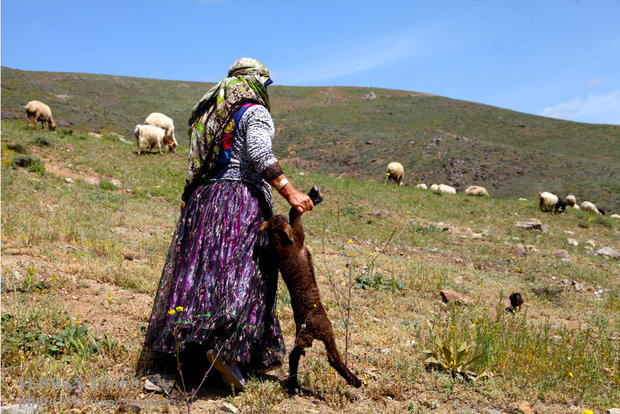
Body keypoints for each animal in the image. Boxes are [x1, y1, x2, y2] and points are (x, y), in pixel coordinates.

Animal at [258, 187, 364, 392]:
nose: (277, 214)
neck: (280, 243)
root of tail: (309, 330)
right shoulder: (298, 235)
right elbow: (295, 213)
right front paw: (313, 196)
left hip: (303, 336)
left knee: (296, 355)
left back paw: (293, 385)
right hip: (325, 330)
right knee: (330, 356)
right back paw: (354, 381)